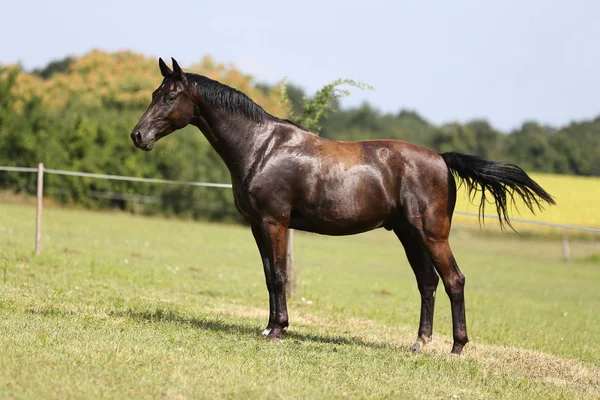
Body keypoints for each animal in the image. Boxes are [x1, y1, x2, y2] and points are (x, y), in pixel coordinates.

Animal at [129, 57, 556, 354]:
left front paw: (278, 329)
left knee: (453, 280)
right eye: (152, 95)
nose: (138, 136)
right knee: (427, 282)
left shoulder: (274, 222)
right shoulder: (256, 224)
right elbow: (268, 276)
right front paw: (269, 326)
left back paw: (456, 347)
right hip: (408, 234)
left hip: (431, 234)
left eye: (170, 96)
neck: (262, 147)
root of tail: (440, 158)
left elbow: (279, 276)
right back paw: (420, 343)